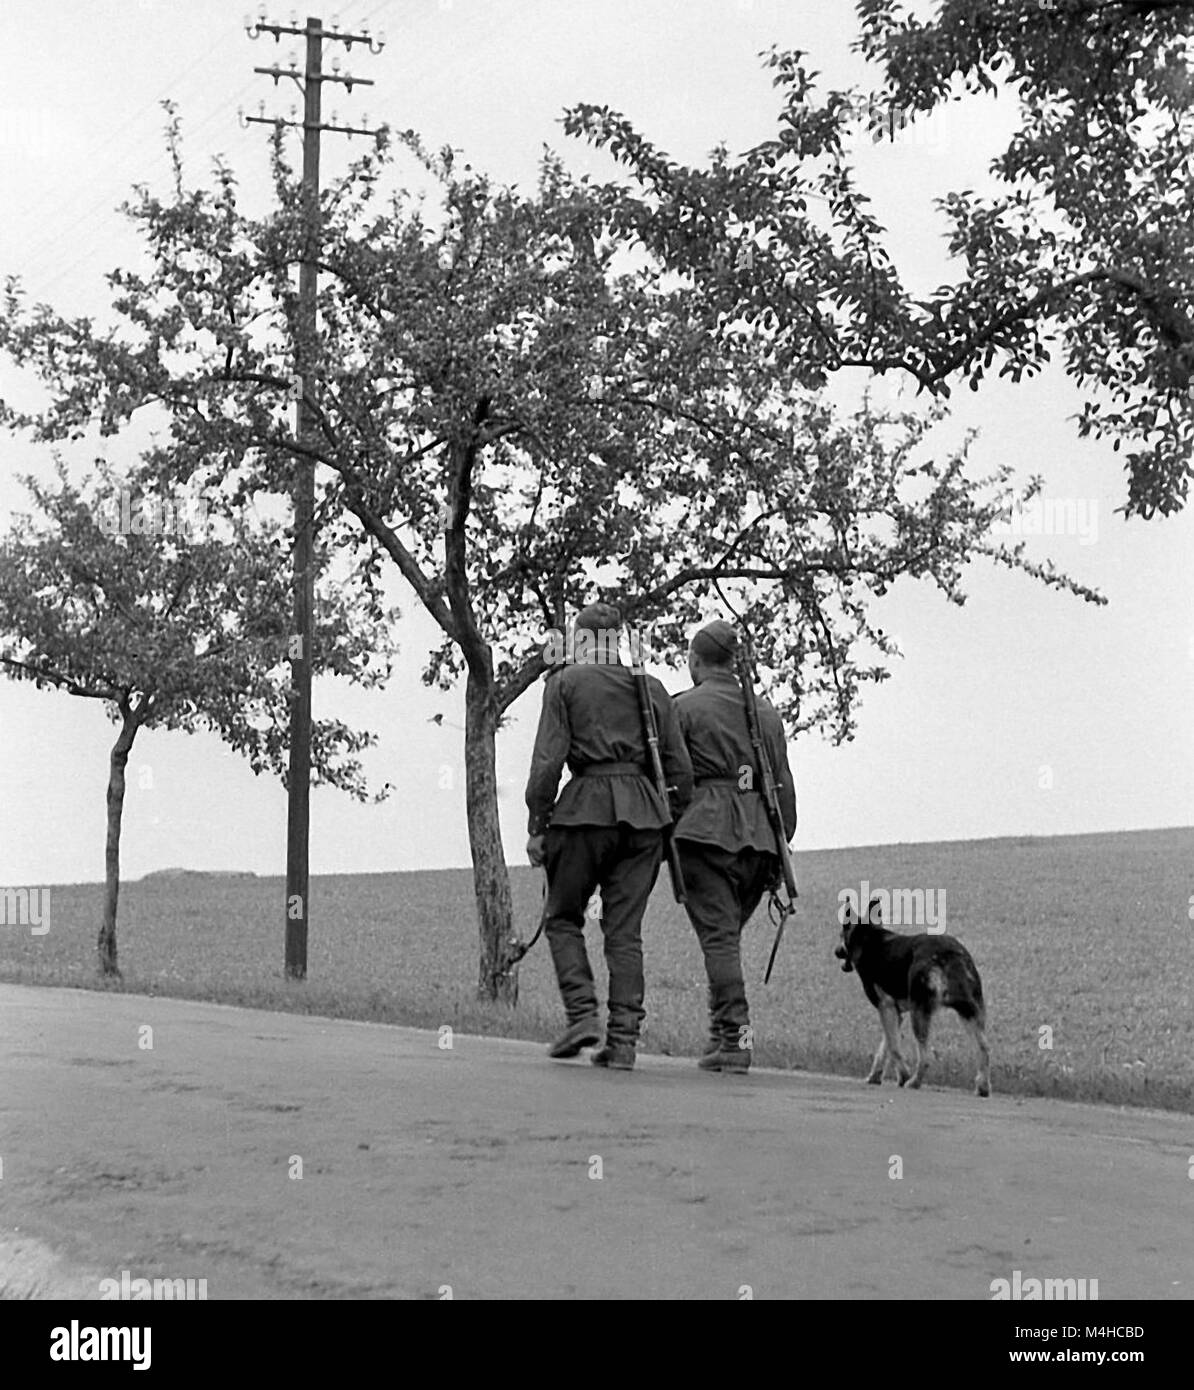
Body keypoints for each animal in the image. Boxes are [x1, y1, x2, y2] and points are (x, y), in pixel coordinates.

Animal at [833, 895, 995, 1100]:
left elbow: (894, 1047)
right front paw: (875, 1076)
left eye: (841, 933)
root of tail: (951, 954)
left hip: (920, 1012)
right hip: (969, 1012)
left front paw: (903, 1076)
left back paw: (914, 1082)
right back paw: (983, 1087)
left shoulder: (885, 1007)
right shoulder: (895, 1013)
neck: (868, 935)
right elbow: (886, 1046)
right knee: (984, 1048)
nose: (836, 951)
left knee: (925, 1057)